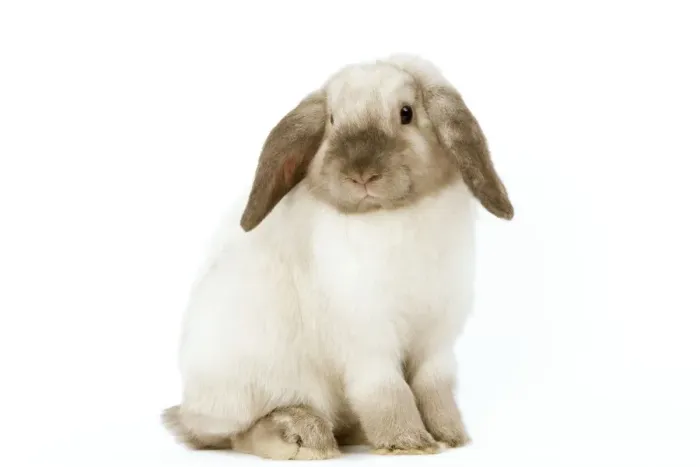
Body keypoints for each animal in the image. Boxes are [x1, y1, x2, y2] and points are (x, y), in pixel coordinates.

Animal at [161, 54, 514, 460]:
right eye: (332, 121)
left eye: (406, 113)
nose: (361, 174)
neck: (387, 216)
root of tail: (190, 410)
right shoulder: (367, 338)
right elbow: (387, 390)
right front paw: (408, 442)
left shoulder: (436, 337)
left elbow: (433, 387)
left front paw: (450, 435)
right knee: (236, 434)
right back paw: (301, 437)